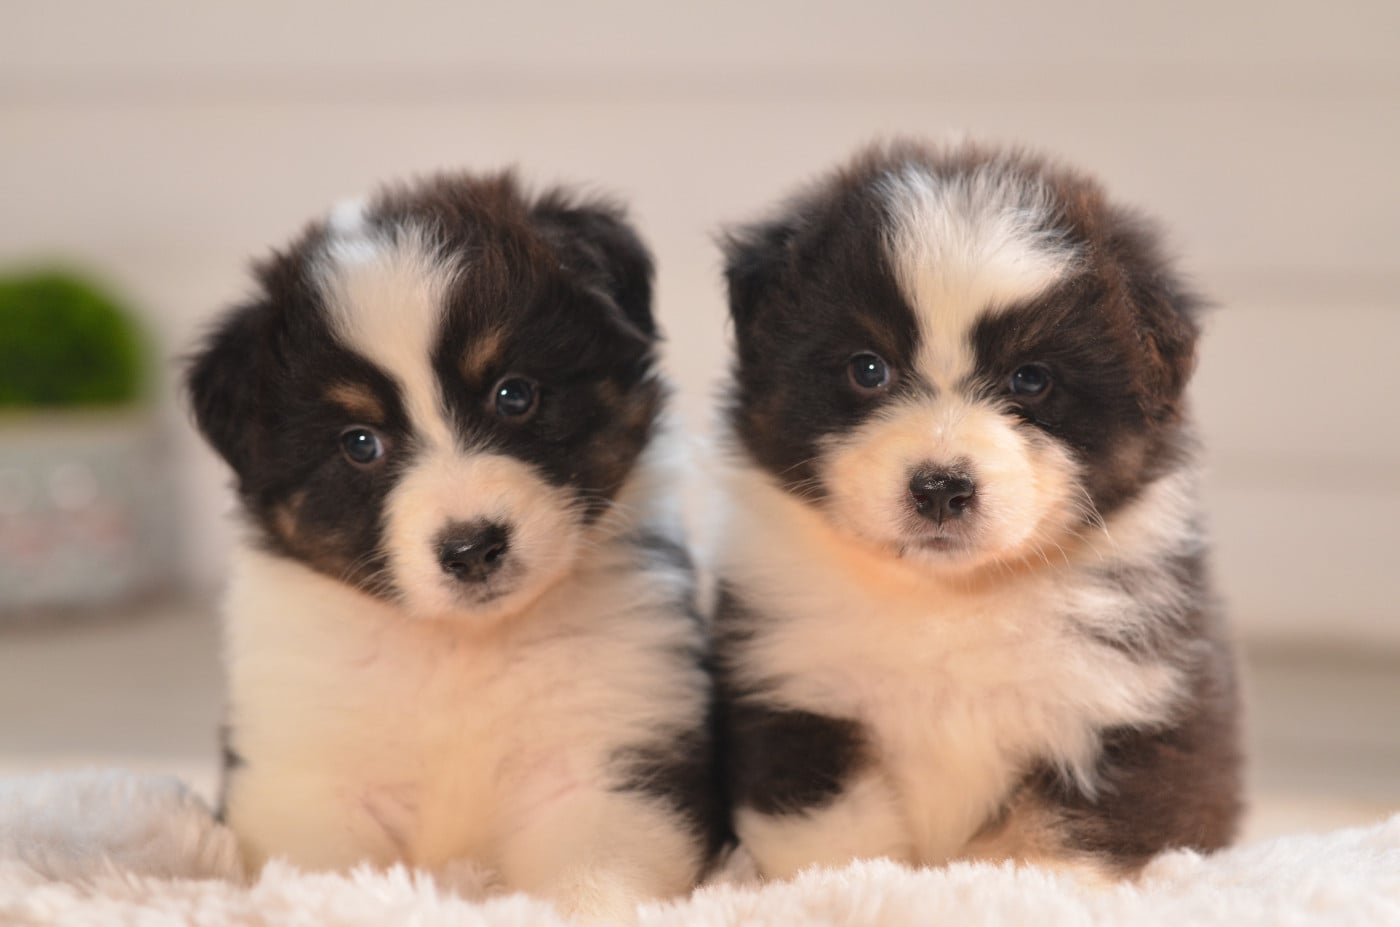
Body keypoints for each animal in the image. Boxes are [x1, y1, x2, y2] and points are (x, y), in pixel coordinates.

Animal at [186, 171, 724, 915]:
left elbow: (592, 877)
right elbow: (326, 877)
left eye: (514, 394)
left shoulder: (609, 759)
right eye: (360, 442)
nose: (472, 549)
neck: (461, 649)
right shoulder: (307, 774)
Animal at [713, 141, 1242, 880]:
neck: (951, 600)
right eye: (867, 368)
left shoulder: (1127, 702)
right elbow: (837, 839)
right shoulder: (795, 691)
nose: (940, 488)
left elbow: (1058, 840)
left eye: (1032, 378)